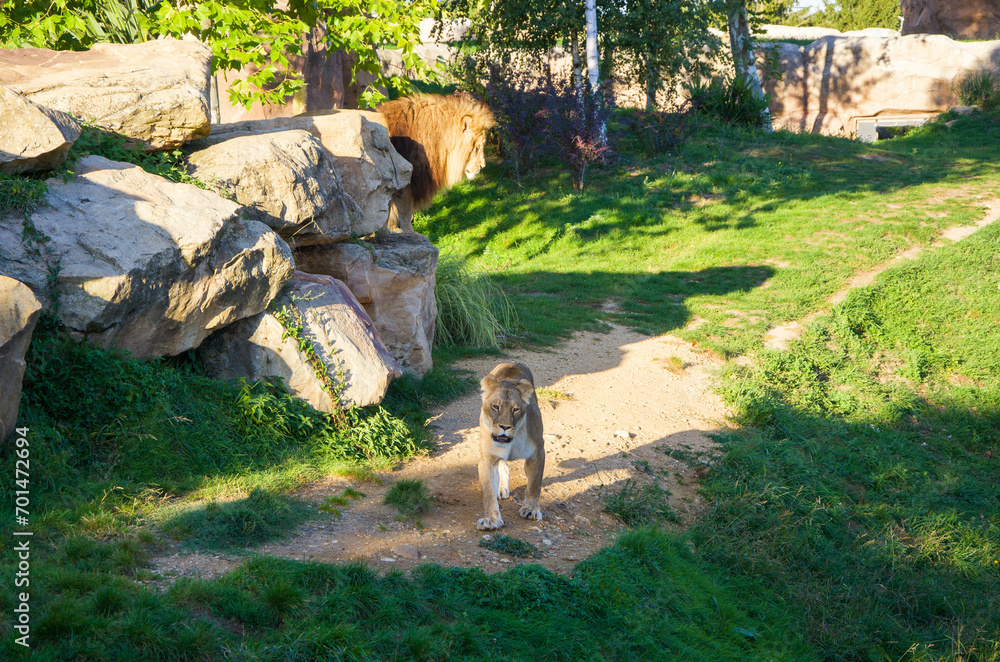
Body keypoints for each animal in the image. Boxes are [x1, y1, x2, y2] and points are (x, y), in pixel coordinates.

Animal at [476, 362, 545, 530]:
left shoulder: (537, 451)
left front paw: (531, 510)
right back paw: (500, 490)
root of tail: (511, 363)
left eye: (516, 409)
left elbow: (535, 484)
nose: (505, 427)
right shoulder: (487, 459)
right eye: (495, 407)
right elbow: (488, 491)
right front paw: (491, 519)